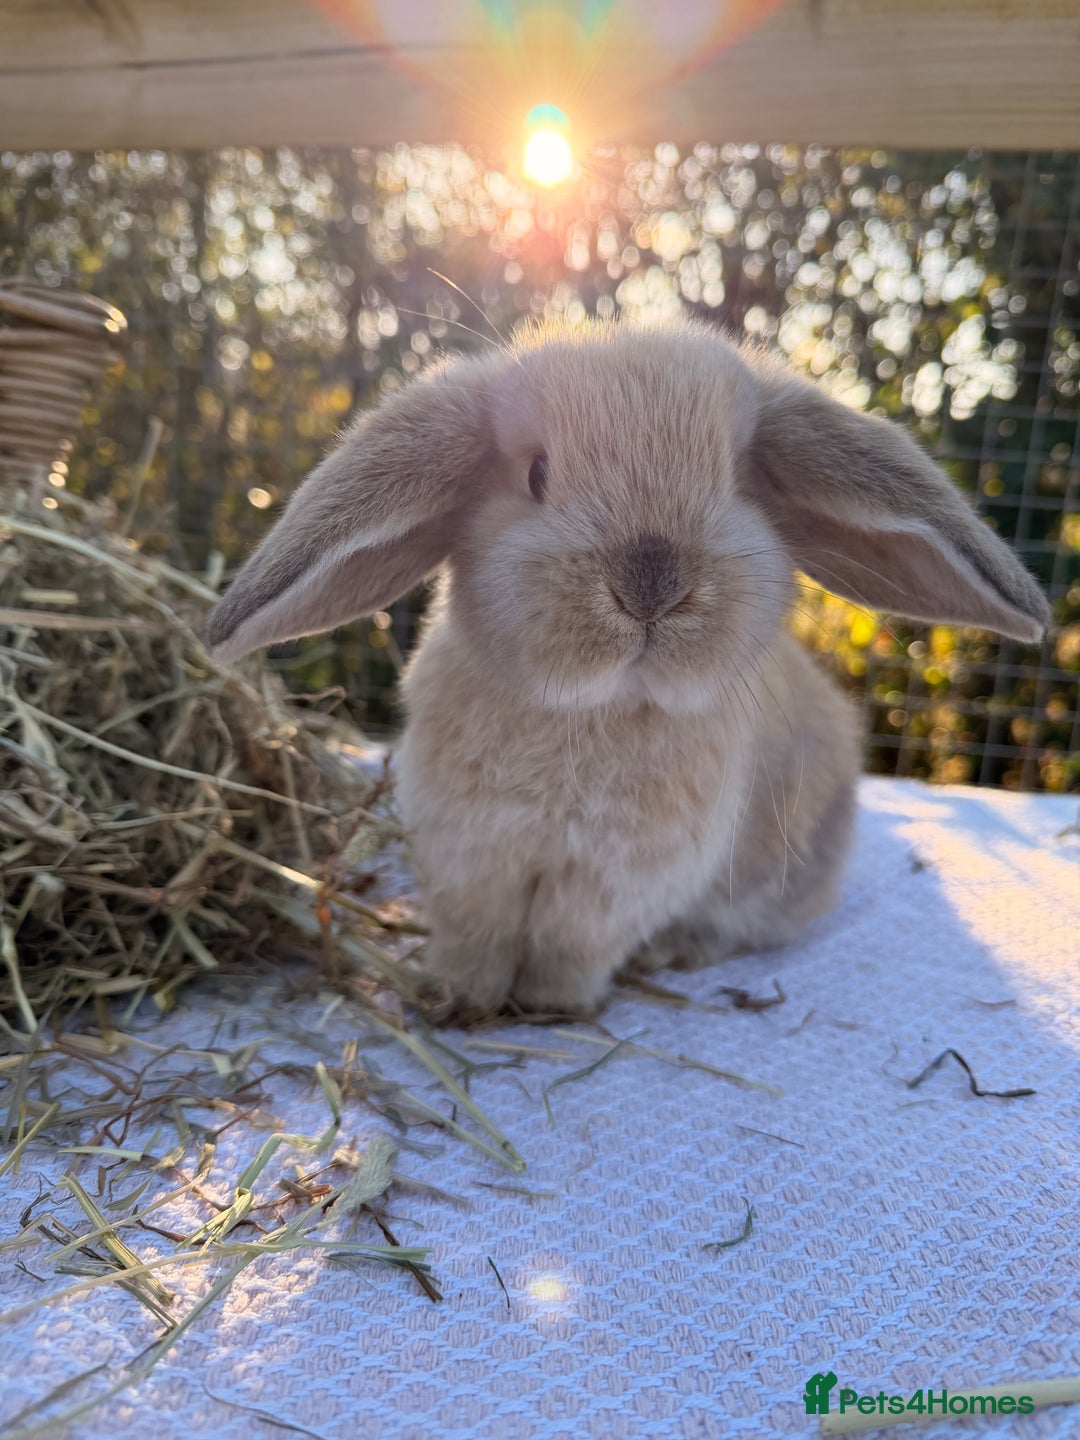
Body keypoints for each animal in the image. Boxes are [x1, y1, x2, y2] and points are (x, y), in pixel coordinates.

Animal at [206, 322, 1051, 1018]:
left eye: (736, 481)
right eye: (538, 473)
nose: (652, 583)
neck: (592, 711)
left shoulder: (617, 884)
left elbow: (571, 948)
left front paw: (552, 1005)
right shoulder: (468, 856)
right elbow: (475, 939)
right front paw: (455, 996)